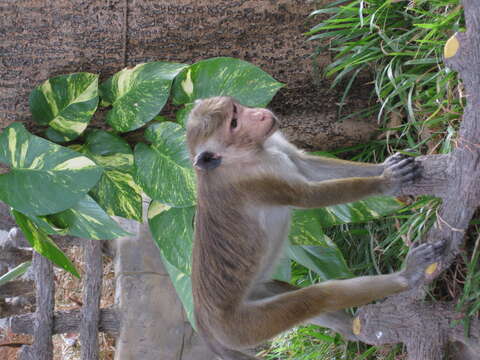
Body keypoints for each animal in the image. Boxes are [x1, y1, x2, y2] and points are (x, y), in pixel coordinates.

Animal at [188, 95, 446, 360]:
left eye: (235, 111)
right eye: (234, 124)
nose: (259, 114)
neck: (246, 154)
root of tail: (204, 325)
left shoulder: (273, 143)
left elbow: (306, 164)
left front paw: (383, 167)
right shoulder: (255, 181)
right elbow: (310, 197)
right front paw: (385, 182)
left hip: (256, 294)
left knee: (286, 291)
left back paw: (353, 329)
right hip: (243, 327)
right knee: (318, 298)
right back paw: (407, 276)